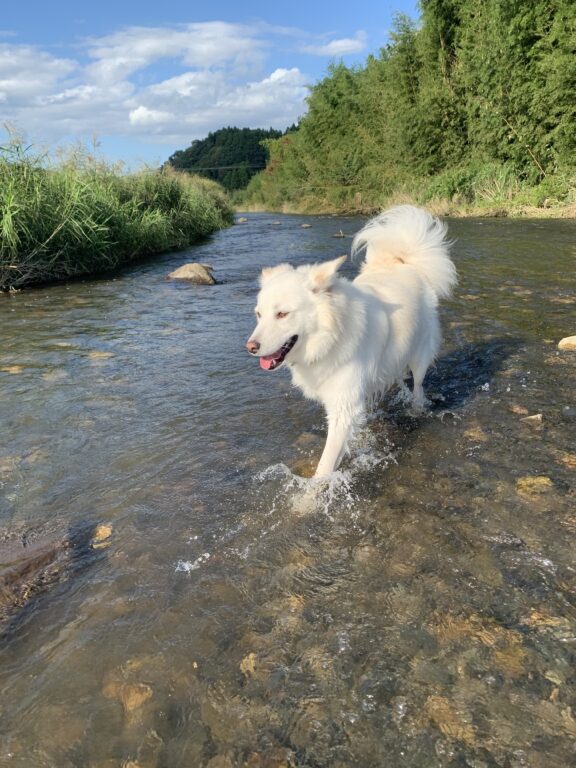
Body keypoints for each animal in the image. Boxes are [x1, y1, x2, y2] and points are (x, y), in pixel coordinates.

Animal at [245, 207, 456, 476]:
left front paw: (314, 488)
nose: (250, 348)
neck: (331, 336)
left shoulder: (343, 408)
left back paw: (417, 408)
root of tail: (405, 263)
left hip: (419, 356)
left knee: (418, 385)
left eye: (282, 314)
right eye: (258, 314)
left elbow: (324, 467)